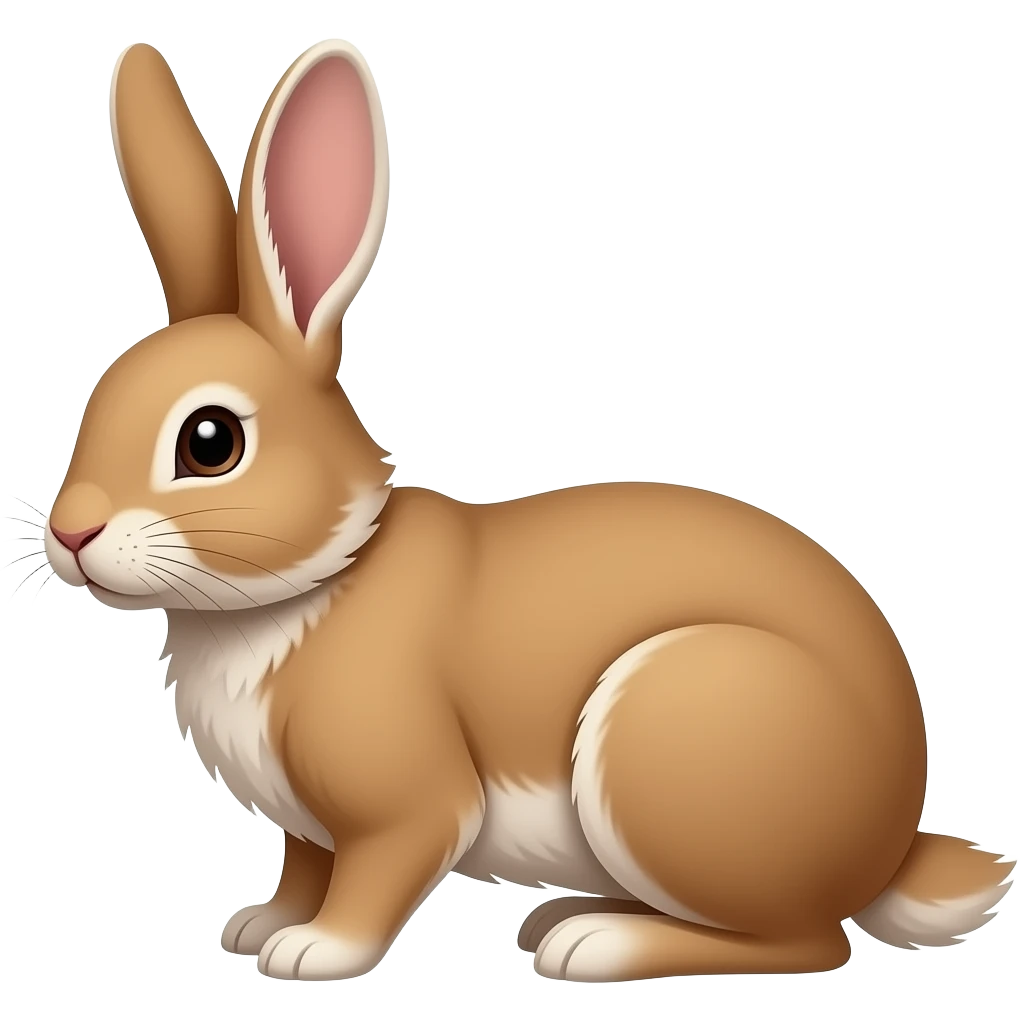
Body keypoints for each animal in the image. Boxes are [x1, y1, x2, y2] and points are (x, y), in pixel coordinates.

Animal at [37, 38, 1014, 983]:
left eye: (210, 442)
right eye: (95, 402)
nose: (70, 532)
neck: (321, 575)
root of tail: (891, 845)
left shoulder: (406, 803)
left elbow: (377, 873)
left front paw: (315, 953)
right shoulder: (306, 826)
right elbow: (305, 867)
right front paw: (261, 925)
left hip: (668, 740)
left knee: (807, 943)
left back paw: (597, 946)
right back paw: (566, 918)